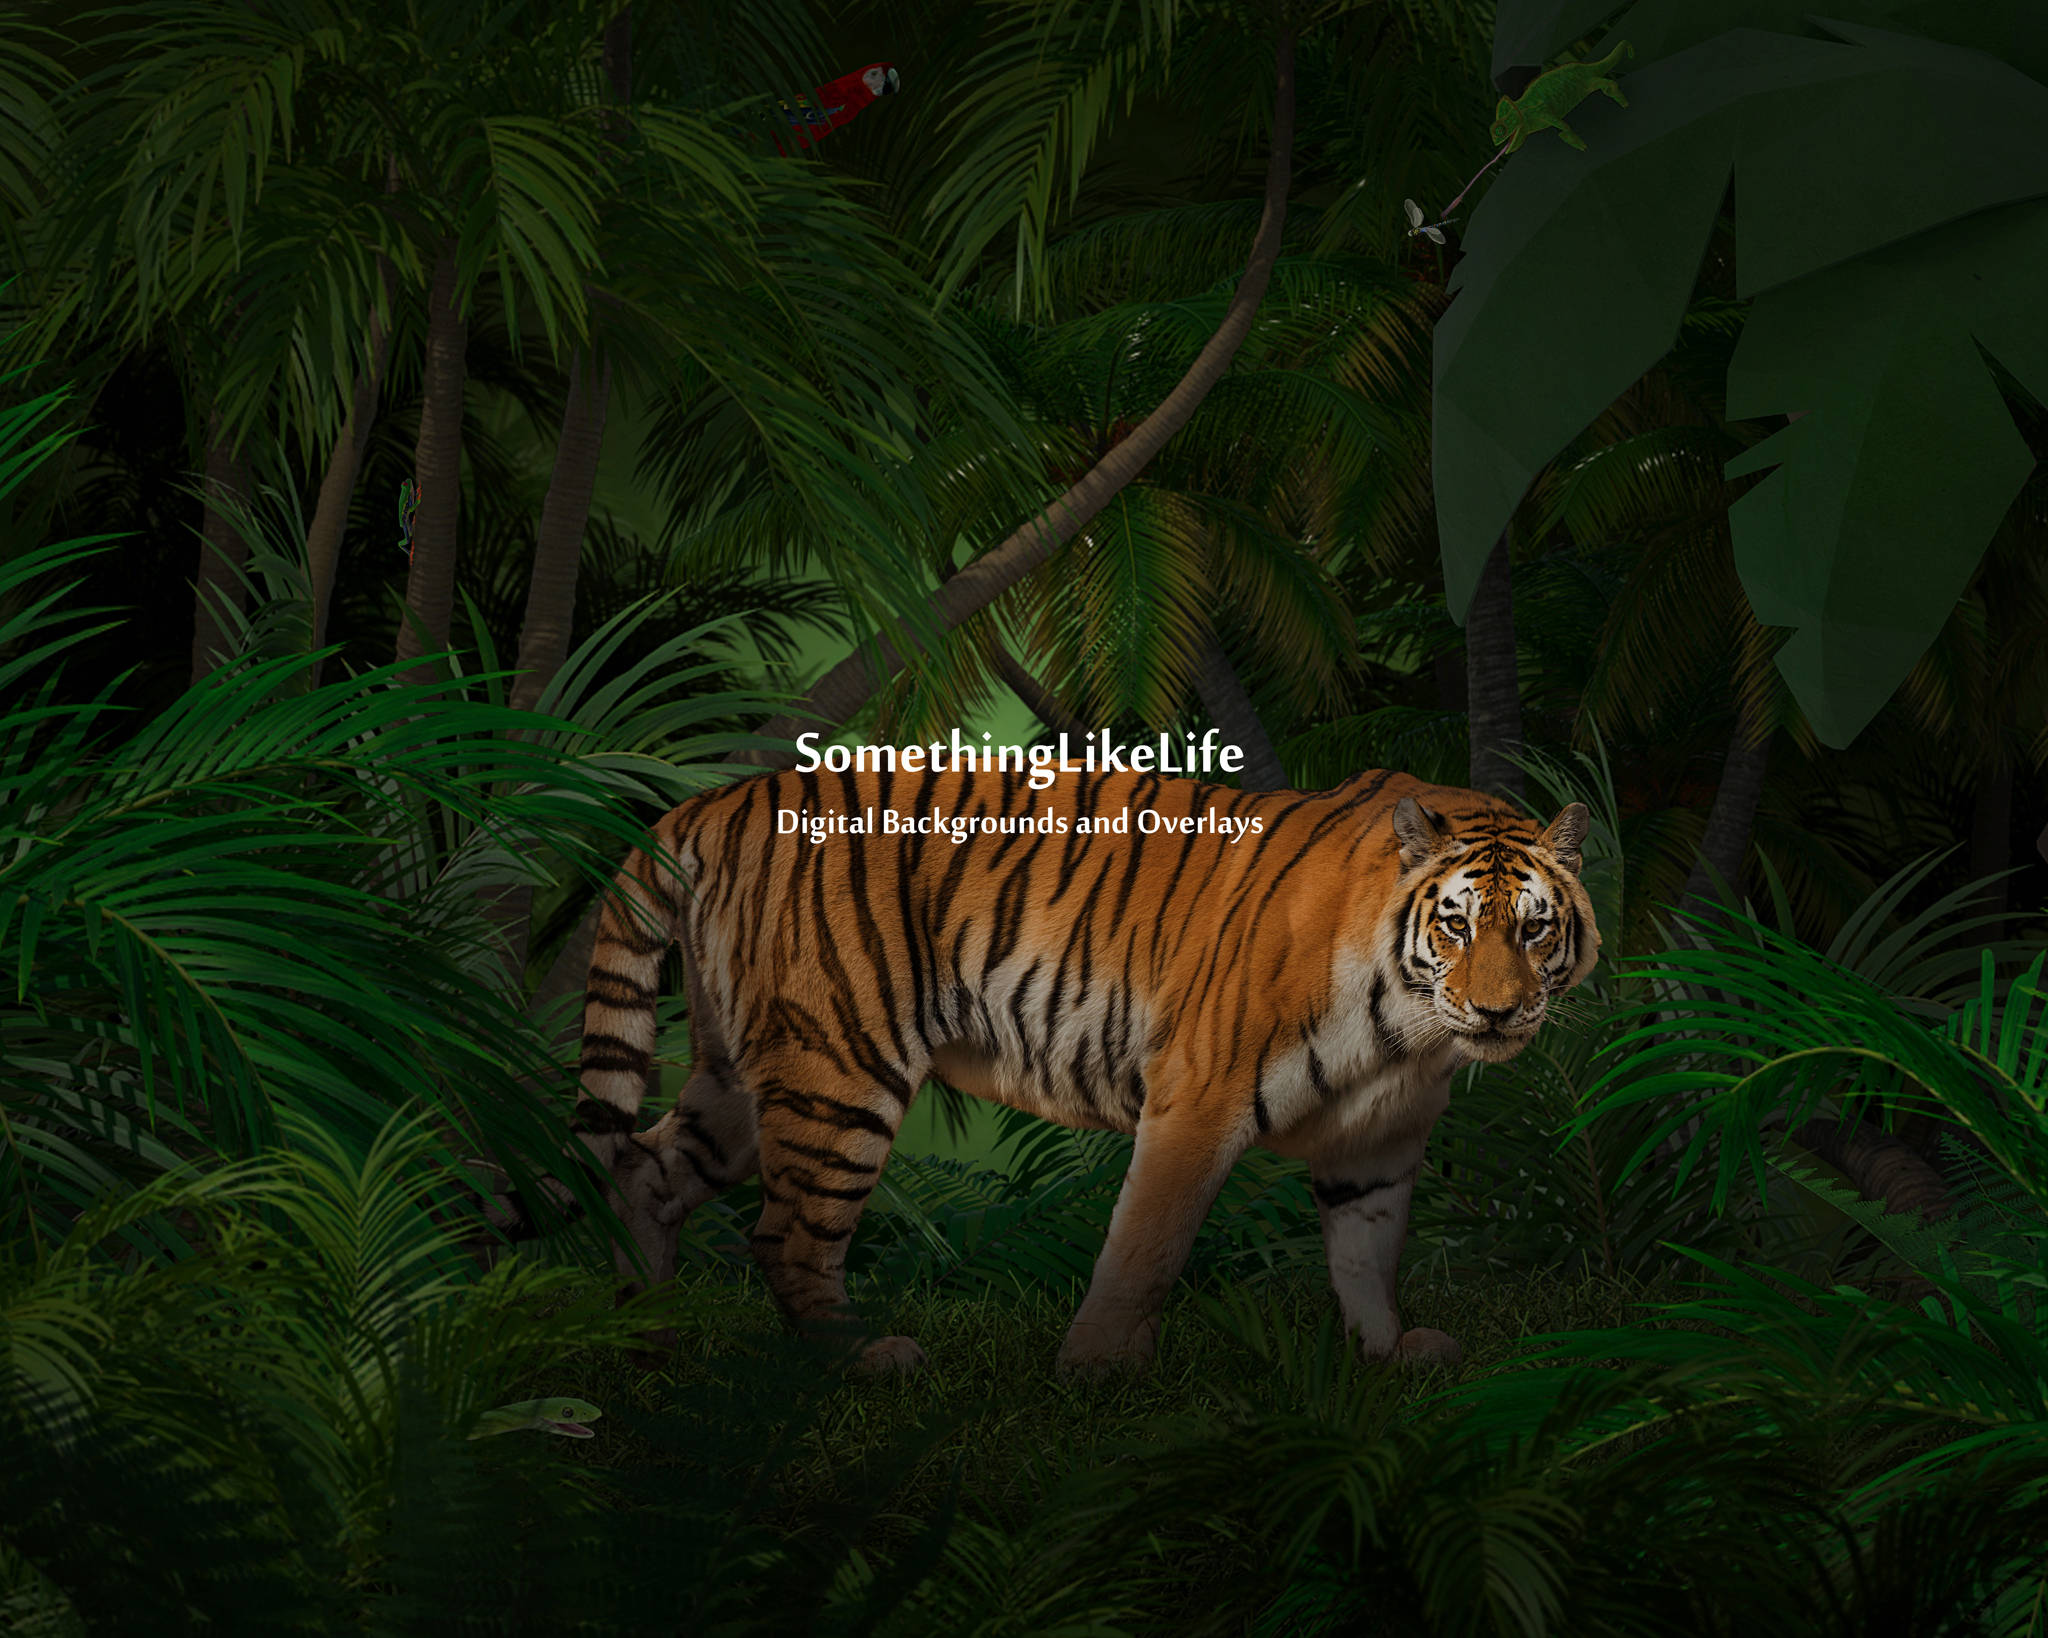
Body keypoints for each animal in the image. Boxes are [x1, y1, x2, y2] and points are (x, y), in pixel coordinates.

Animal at [569, 763, 1598, 1375]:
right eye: (1457, 924)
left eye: (1534, 928)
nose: (1498, 1012)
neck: (1408, 1035)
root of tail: (721, 797)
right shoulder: (1197, 1098)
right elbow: (1147, 1247)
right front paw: (1095, 1368)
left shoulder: (1376, 1145)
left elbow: (1366, 1256)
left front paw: (1386, 1353)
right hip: (838, 1069)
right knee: (785, 1233)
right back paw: (864, 1360)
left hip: (747, 1075)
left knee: (648, 1171)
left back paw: (643, 1335)